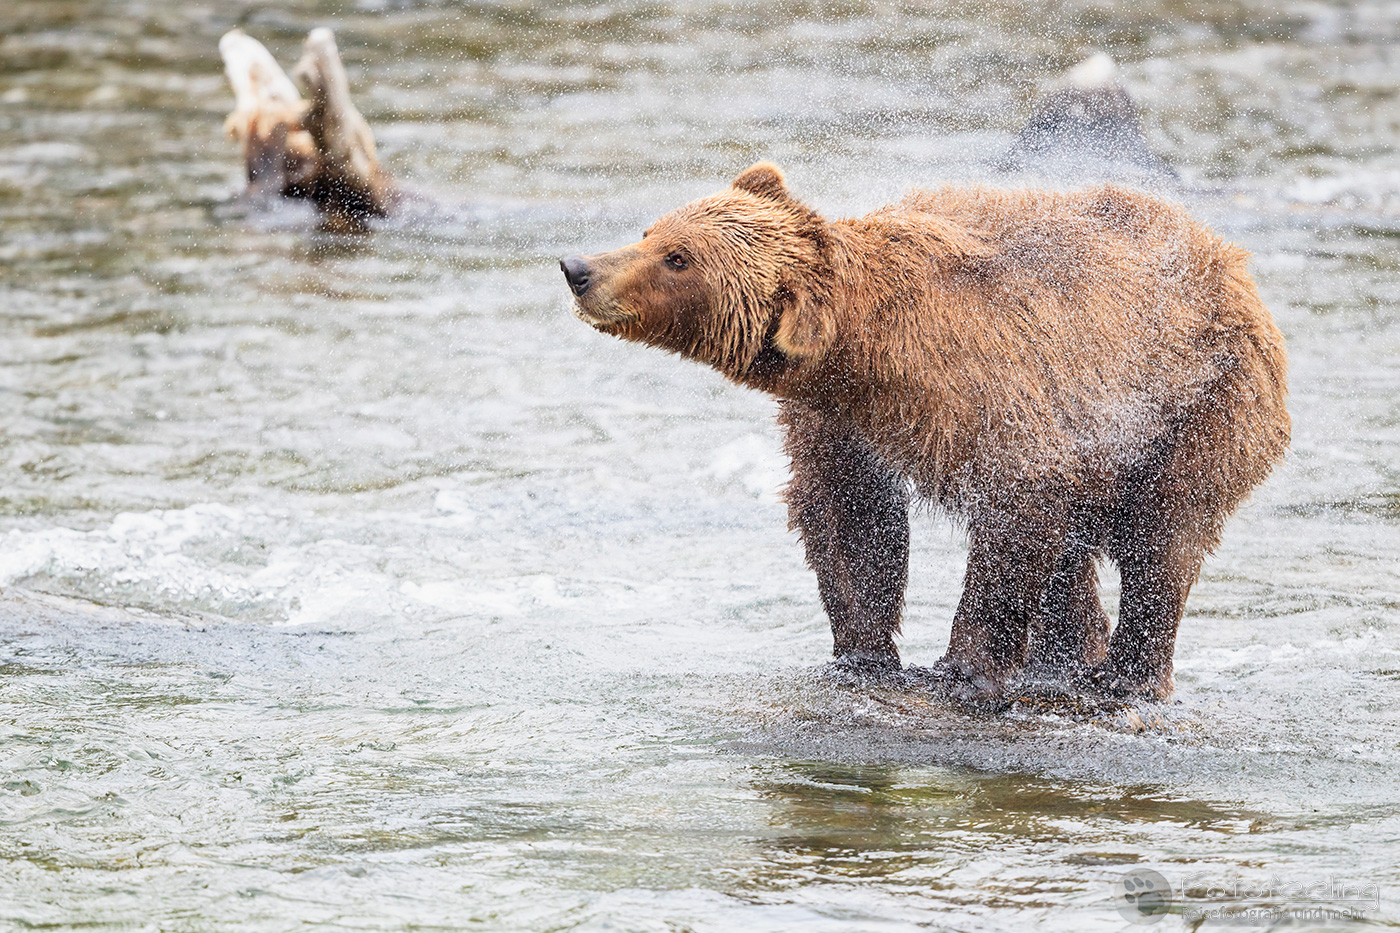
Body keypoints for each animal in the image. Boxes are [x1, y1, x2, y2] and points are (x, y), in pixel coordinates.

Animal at [560, 163, 1289, 703]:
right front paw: (862, 652)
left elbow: (1012, 515)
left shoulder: (993, 392)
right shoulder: (839, 419)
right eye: (651, 230)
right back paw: (1064, 656)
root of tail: (1233, 259)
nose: (578, 268)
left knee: (1164, 538)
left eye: (678, 258)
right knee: (1074, 550)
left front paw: (960, 669)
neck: (867, 354)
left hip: (1199, 404)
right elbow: (849, 517)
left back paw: (1127, 674)